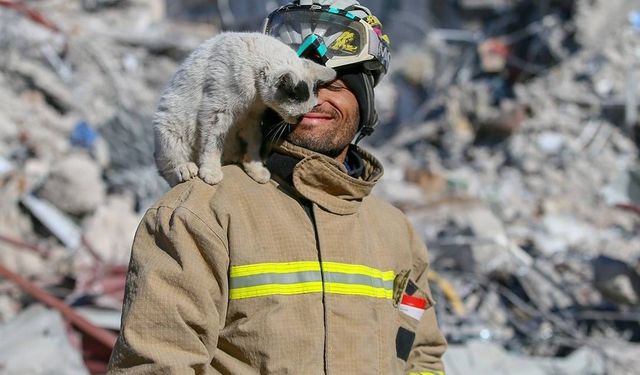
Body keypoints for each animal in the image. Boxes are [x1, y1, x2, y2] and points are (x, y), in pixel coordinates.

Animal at [153, 31, 338, 187]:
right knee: (169, 169)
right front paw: (211, 172)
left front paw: (255, 169)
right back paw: (185, 168)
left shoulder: (252, 118)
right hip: (169, 127)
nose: (298, 120)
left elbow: (254, 144)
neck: (255, 95)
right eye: (299, 114)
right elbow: (212, 144)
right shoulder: (216, 112)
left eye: (305, 113)